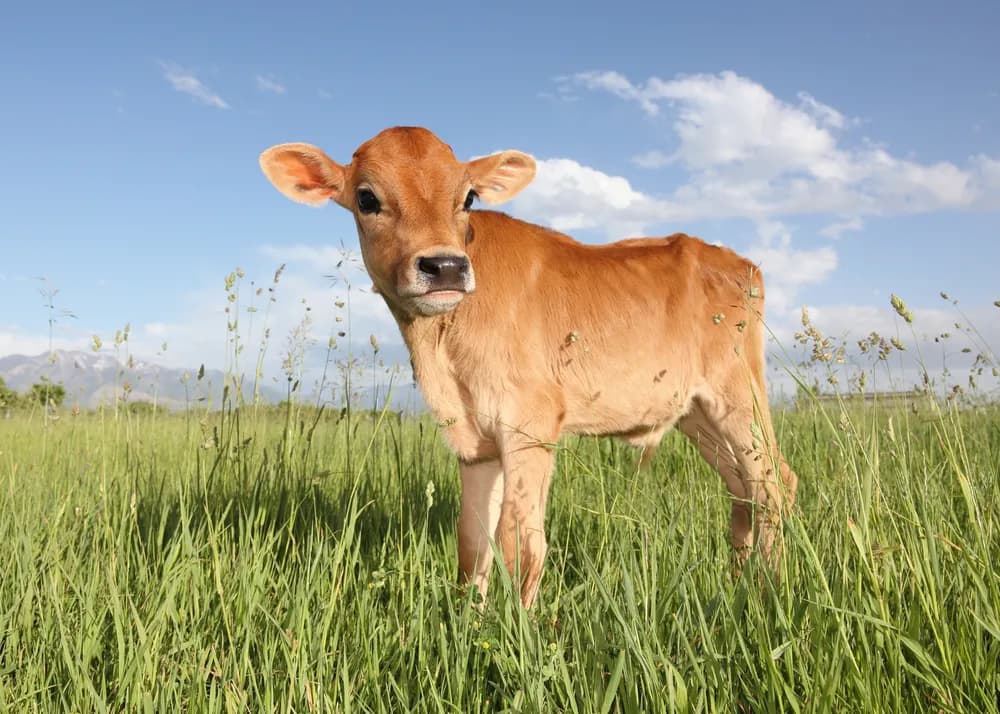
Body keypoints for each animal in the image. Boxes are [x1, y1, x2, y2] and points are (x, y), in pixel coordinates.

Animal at [259, 126, 798, 607]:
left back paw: (771, 586)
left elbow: (520, 543)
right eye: (367, 198)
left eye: (468, 197)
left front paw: (518, 638)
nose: (445, 267)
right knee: (742, 491)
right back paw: (738, 583)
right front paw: (470, 625)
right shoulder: (474, 441)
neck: (441, 350)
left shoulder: (531, 424)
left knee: (774, 484)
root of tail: (735, 261)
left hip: (738, 395)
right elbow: (472, 543)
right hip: (696, 413)